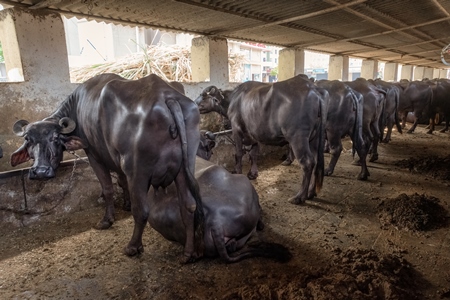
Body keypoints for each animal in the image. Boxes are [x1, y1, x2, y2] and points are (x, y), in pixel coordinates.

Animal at [10, 72, 204, 260]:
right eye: (28, 139)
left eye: (55, 138)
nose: (40, 171)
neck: (78, 106)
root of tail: (167, 97)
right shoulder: (117, 161)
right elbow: (121, 182)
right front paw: (125, 204)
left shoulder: (94, 156)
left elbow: (108, 188)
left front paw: (107, 220)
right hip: (185, 167)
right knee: (188, 205)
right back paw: (189, 252)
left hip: (138, 171)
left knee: (142, 210)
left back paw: (133, 246)